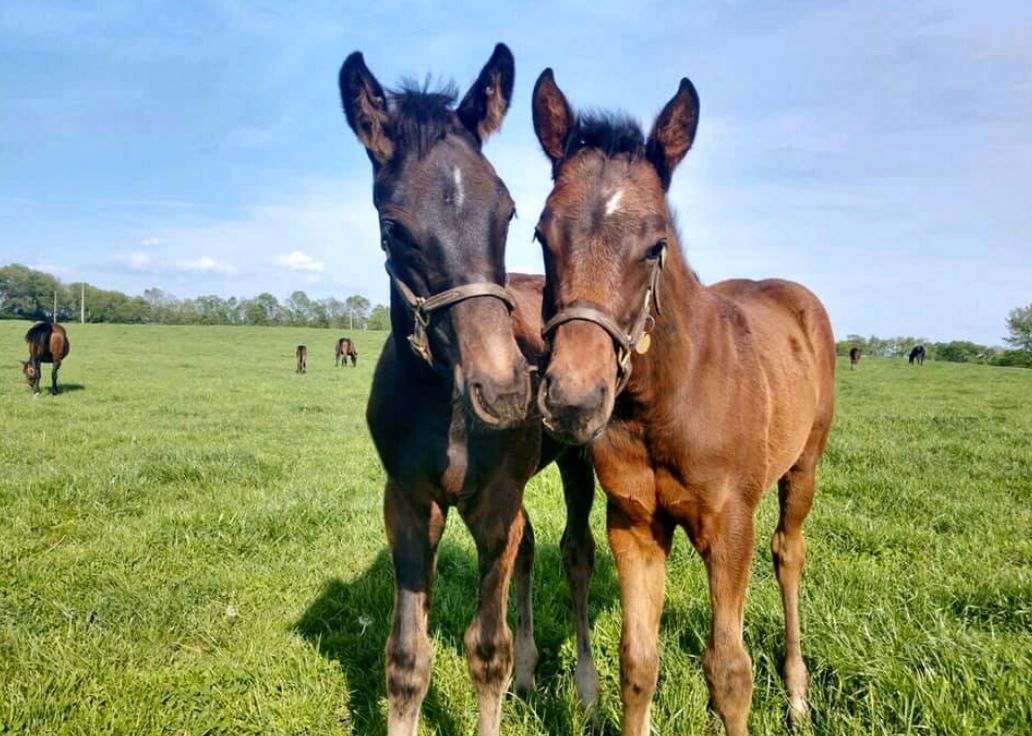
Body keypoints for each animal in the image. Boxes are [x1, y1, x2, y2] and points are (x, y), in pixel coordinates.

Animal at [338, 45, 598, 735]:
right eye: (393, 227)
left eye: (507, 212)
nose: (504, 388)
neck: (445, 407)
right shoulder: (408, 503)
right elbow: (407, 659)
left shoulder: (494, 502)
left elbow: (486, 649)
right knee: (531, 546)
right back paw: (533, 674)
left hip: (578, 459)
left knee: (576, 552)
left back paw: (586, 688)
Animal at [531, 70, 836, 735]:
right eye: (541, 235)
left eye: (655, 244)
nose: (573, 399)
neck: (663, 404)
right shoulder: (634, 523)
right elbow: (637, 661)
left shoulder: (731, 524)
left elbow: (730, 671)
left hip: (804, 465)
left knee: (790, 553)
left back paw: (799, 695)